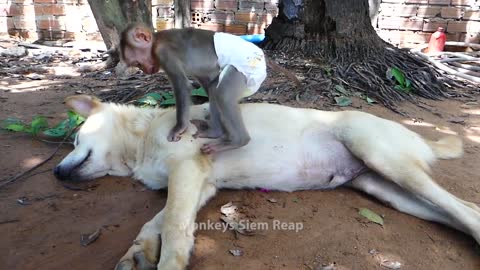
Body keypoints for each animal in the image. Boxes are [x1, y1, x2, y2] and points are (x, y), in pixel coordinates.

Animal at [54, 95, 478, 270]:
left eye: (74, 140)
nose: (57, 173)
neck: (142, 138)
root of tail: (418, 136)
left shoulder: (187, 170)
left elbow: (173, 226)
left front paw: (168, 263)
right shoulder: (199, 183)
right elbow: (154, 222)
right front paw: (139, 252)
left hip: (382, 156)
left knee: (465, 209)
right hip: (387, 189)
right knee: (461, 209)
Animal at [119, 22, 266, 154]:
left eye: (137, 63)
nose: (145, 70)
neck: (156, 41)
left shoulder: (164, 53)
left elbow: (182, 85)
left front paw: (179, 127)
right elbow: (207, 82)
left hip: (248, 68)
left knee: (222, 94)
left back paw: (239, 141)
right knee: (214, 88)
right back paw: (216, 131)